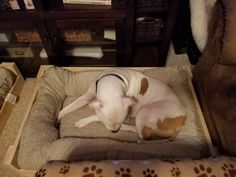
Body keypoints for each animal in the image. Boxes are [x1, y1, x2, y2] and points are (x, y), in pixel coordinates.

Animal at [58, 68, 186, 141]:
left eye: (120, 121)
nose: (115, 131)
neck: (111, 85)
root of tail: (183, 120)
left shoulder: (127, 115)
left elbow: (96, 116)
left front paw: (84, 121)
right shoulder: (87, 96)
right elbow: (71, 106)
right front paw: (59, 116)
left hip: (144, 113)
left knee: (140, 133)